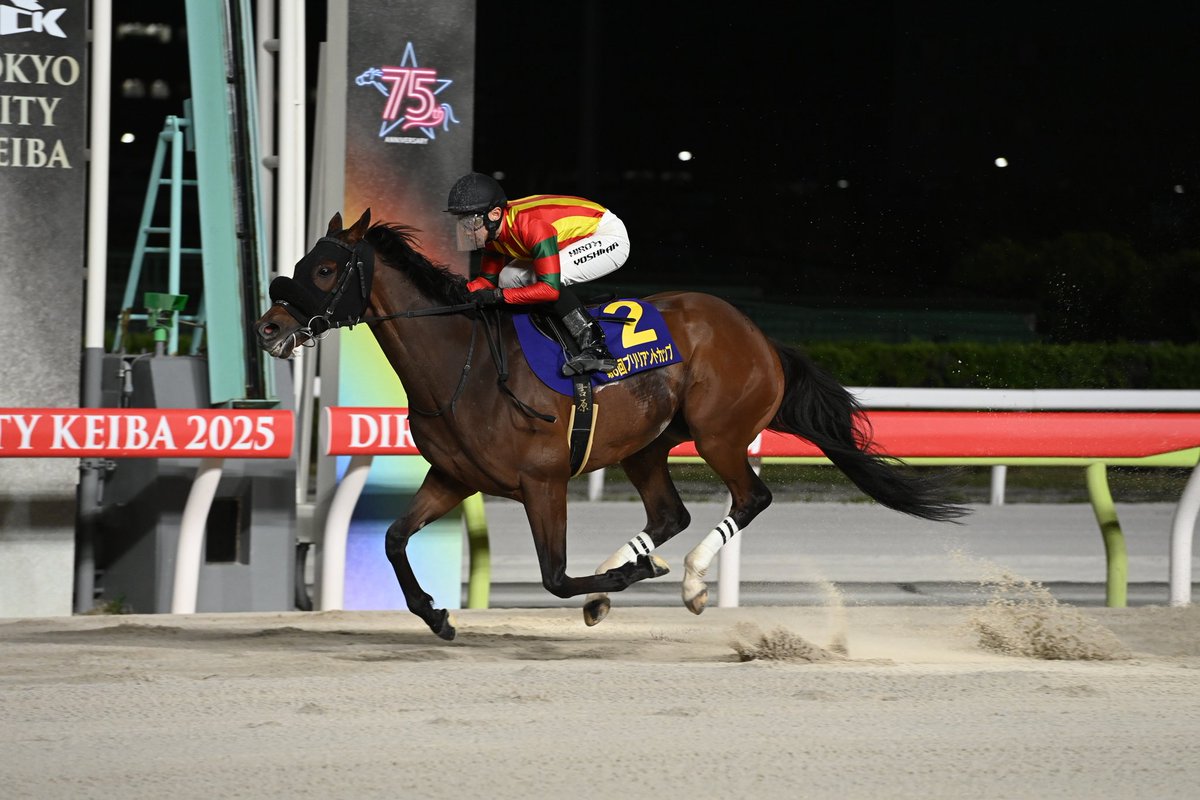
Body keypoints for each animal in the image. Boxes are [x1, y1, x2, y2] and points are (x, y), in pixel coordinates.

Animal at [255, 209, 968, 640]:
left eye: (324, 269)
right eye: (302, 263)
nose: (268, 327)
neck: (462, 364)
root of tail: (761, 338)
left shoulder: (543, 482)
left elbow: (554, 576)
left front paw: (624, 581)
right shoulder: (455, 476)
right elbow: (394, 540)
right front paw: (436, 615)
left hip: (719, 433)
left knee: (751, 497)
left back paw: (687, 581)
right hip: (646, 445)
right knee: (670, 514)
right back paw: (640, 570)